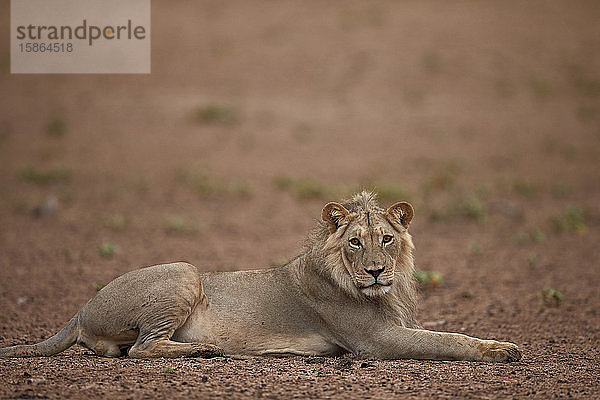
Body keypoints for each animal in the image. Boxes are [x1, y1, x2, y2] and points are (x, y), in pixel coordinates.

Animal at [0, 192, 520, 360]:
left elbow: (450, 333)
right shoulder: (375, 341)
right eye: (355, 242)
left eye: (386, 239)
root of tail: (81, 307)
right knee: (140, 349)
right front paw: (503, 351)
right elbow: (450, 340)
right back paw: (205, 350)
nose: (375, 272)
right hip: (185, 272)